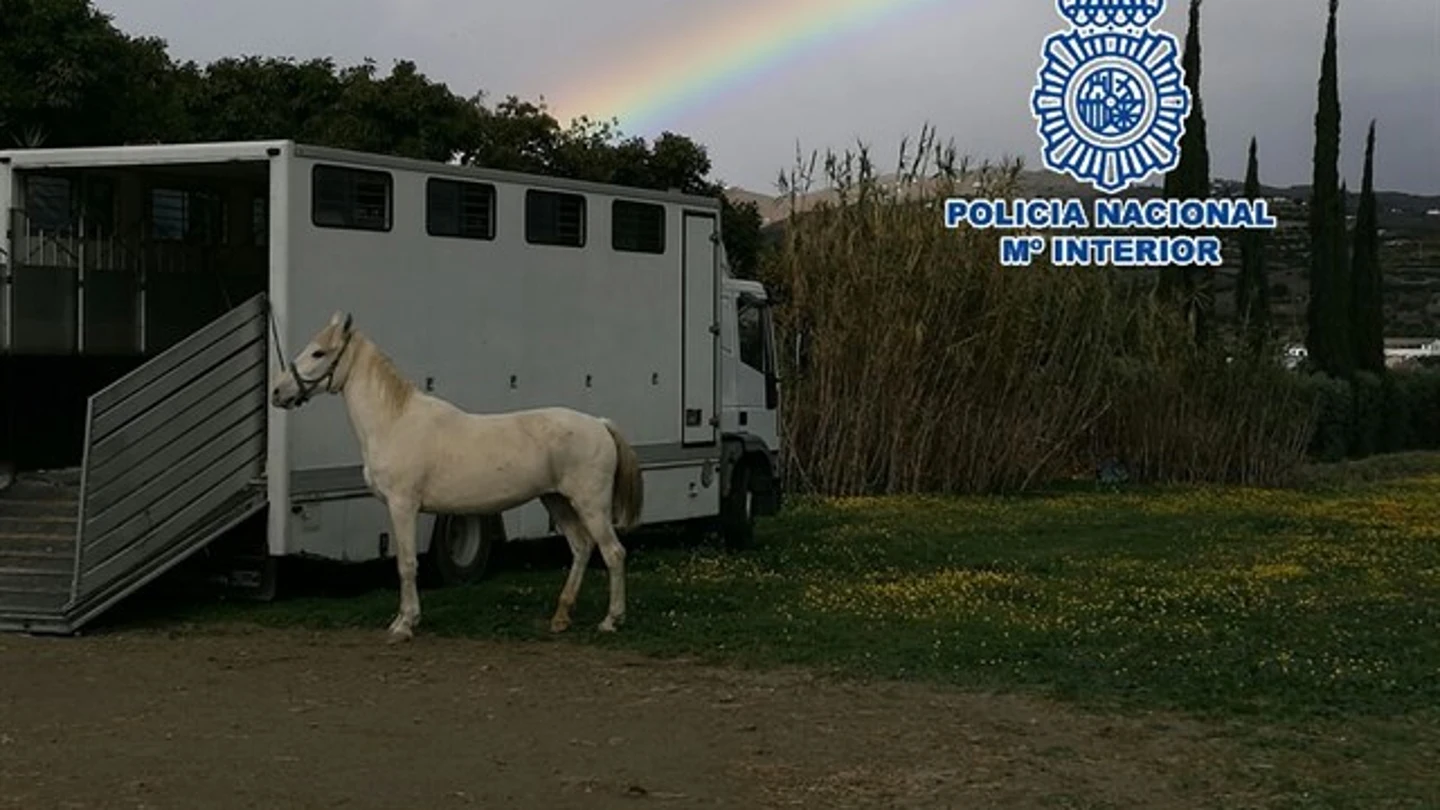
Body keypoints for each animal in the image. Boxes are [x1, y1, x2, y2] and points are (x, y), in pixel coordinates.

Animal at [269, 311, 644, 643]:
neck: (394, 421)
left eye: (319, 353)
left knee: (613, 553)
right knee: (581, 547)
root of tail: (599, 424)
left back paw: (611, 621)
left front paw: (404, 625)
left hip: (590, 505)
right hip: (556, 501)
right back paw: (561, 618)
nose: (277, 392)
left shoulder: (403, 506)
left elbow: (406, 564)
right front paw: (402, 620)